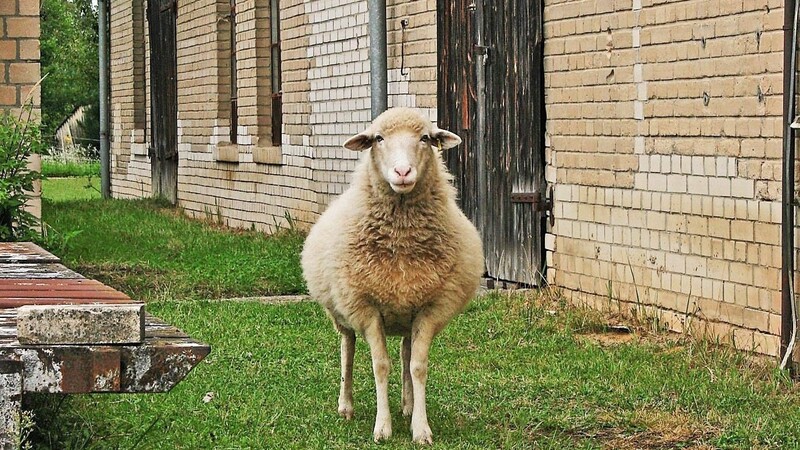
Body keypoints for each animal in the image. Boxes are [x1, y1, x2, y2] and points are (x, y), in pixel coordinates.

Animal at [300, 107, 484, 444]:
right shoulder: (366, 308)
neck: (400, 237)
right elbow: (380, 366)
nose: (402, 172)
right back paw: (346, 406)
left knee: (405, 353)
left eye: (425, 138)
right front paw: (382, 427)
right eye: (378, 139)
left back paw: (408, 406)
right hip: (341, 312)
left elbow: (418, 367)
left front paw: (421, 429)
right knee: (347, 349)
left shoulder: (430, 309)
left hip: (407, 315)